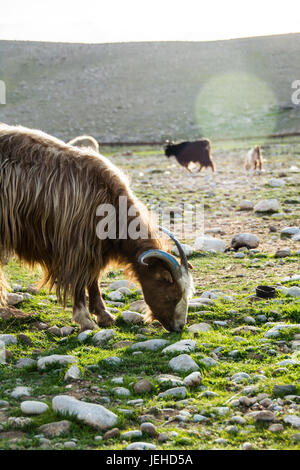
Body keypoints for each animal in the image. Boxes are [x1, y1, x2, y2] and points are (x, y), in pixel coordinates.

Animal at [0, 123, 193, 332]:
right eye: (173, 294)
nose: (179, 327)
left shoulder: (95, 249)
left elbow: (93, 281)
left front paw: (104, 315)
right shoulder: (77, 248)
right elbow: (79, 282)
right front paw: (85, 319)